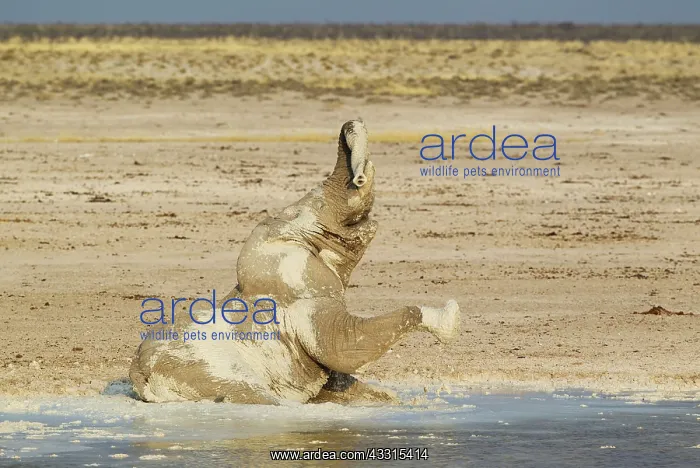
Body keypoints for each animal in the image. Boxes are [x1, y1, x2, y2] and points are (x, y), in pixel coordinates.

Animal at [129, 119, 461, 405]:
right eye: (315, 206)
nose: (349, 126)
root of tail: (140, 378)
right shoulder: (300, 296)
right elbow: (340, 347)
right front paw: (450, 317)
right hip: (206, 371)